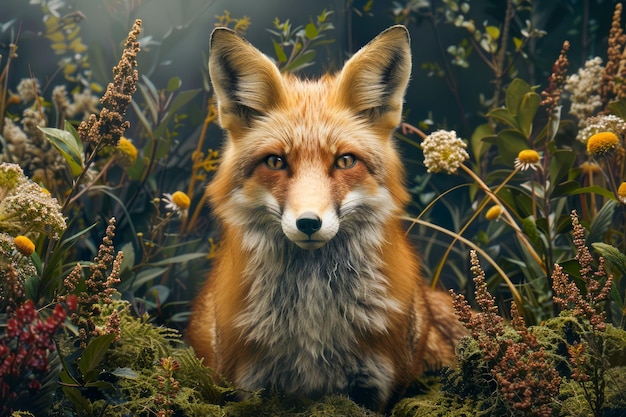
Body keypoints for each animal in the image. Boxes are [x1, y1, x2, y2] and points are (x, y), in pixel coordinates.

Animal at [188, 23, 466, 410]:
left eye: (345, 161)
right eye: (275, 161)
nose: (308, 223)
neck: (312, 314)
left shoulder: (377, 389)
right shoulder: (250, 387)